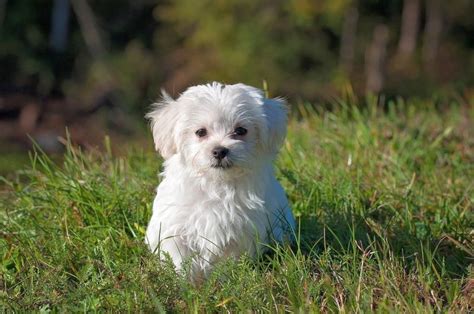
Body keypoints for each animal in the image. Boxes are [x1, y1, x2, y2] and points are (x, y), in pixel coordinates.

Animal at [144, 81, 294, 280]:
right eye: (200, 132)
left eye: (240, 130)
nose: (220, 150)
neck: (216, 184)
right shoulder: (175, 228)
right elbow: (180, 259)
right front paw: (185, 283)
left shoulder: (241, 233)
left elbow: (228, 261)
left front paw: (223, 280)